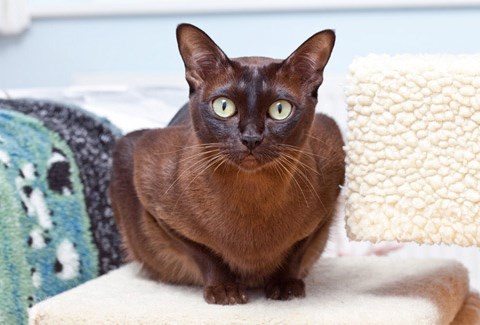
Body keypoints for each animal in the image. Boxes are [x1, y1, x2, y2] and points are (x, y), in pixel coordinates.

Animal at [109, 23, 344, 304]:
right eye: (224, 106)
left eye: (280, 109)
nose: (251, 138)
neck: (252, 194)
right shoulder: (150, 191)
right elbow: (205, 254)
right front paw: (225, 291)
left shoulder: (329, 193)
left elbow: (296, 252)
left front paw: (285, 287)